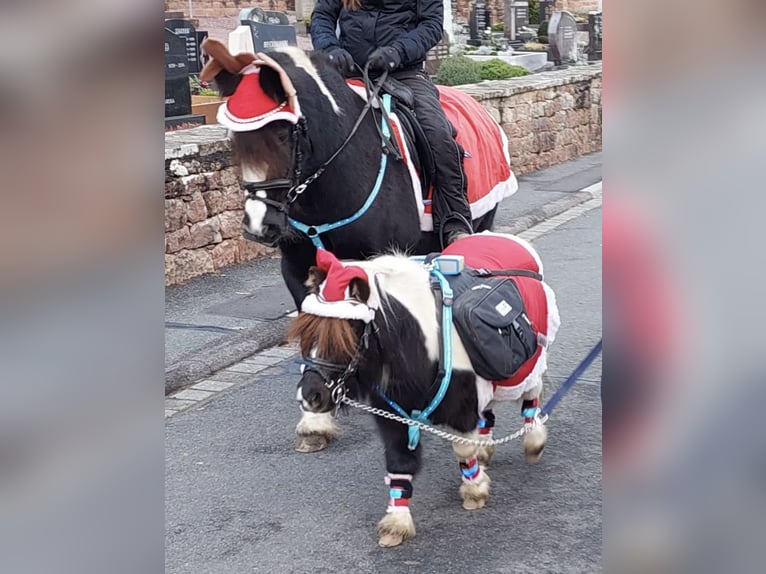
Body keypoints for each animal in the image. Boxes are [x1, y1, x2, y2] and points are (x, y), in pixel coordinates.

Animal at [292, 232, 560, 548]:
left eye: (348, 334)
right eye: (307, 332)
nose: (310, 397)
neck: (417, 345)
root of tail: (500, 236)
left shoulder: (462, 407)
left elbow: (462, 447)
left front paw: (475, 490)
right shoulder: (392, 415)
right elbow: (399, 462)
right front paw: (396, 523)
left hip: (528, 364)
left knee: (531, 394)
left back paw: (533, 440)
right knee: (489, 411)